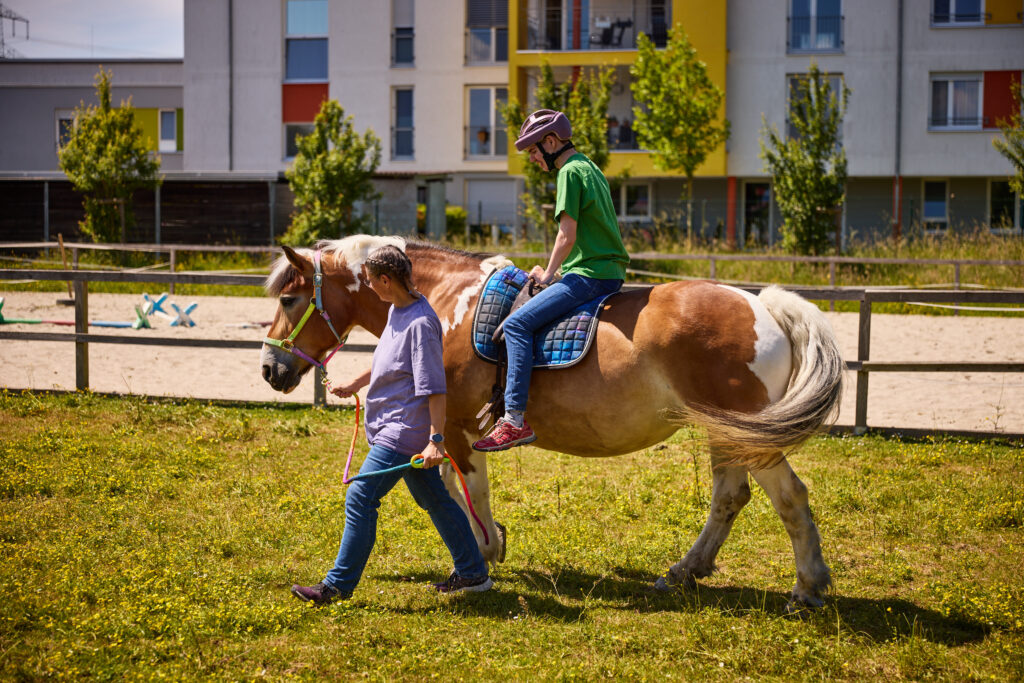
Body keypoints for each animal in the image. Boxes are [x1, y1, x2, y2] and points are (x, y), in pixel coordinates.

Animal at [260, 235, 845, 610]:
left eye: (289, 298)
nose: (270, 369)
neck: (445, 303)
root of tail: (762, 306)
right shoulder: (448, 432)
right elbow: (449, 487)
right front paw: (486, 545)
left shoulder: (459, 428)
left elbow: (470, 488)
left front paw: (485, 553)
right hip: (726, 434)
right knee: (729, 496)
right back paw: (685, 571)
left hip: (751, 438)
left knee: (790, 496)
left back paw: (808, 588)